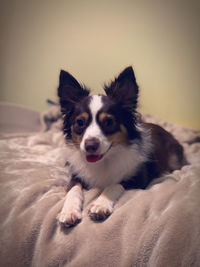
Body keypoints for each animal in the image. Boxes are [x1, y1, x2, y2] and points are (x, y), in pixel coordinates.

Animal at [56, 66, 186, 227]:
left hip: (174, 158)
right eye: (80, 123)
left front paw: (101, 204)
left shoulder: (138, 177)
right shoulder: (76, 176)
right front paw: (68, 211)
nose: (90, 146)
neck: (104, 160)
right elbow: (73, 189)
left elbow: (114, 185)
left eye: (109, 122)